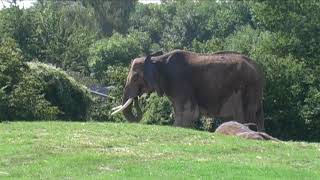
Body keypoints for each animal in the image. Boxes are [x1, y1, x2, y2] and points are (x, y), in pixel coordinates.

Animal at [111, 49, 264, 131]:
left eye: (136, 78)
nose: (137, 97)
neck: (157, 59)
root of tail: (259, 67)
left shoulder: (179, 82)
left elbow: (188, 113)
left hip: (248, 88)